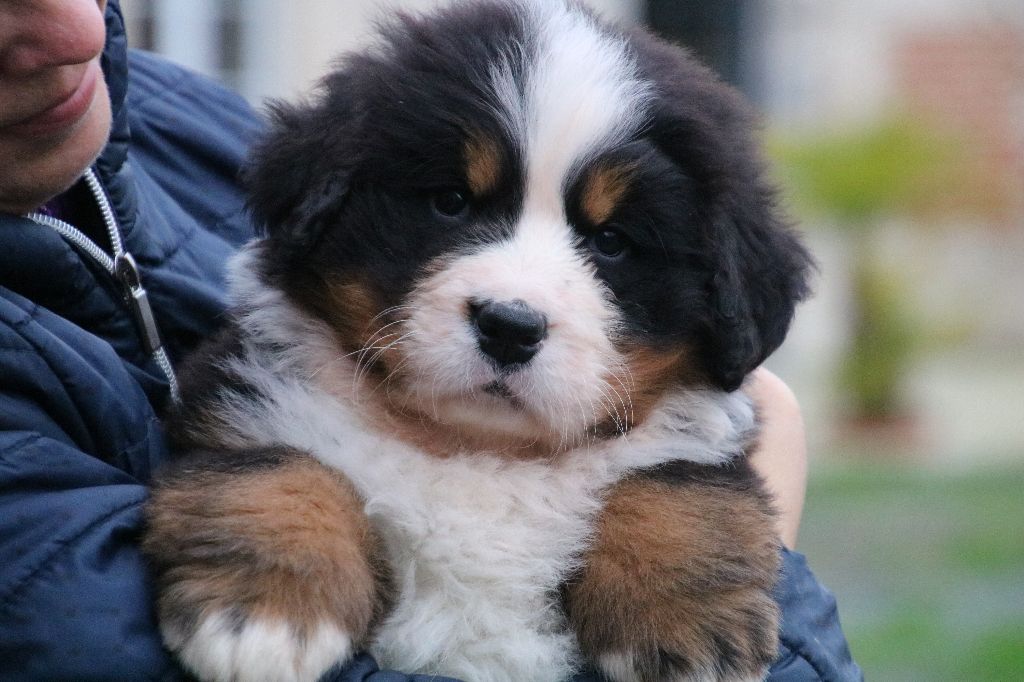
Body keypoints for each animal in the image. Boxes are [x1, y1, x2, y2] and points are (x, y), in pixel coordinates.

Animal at [144, 1, 811, 679]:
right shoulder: (246, 395)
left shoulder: (698, 434)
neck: (478, 451)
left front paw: (690, 633)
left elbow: (680, 488)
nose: (510, 327)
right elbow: (278, 472)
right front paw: (263, 617)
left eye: (612, 241)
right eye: (451, 201)